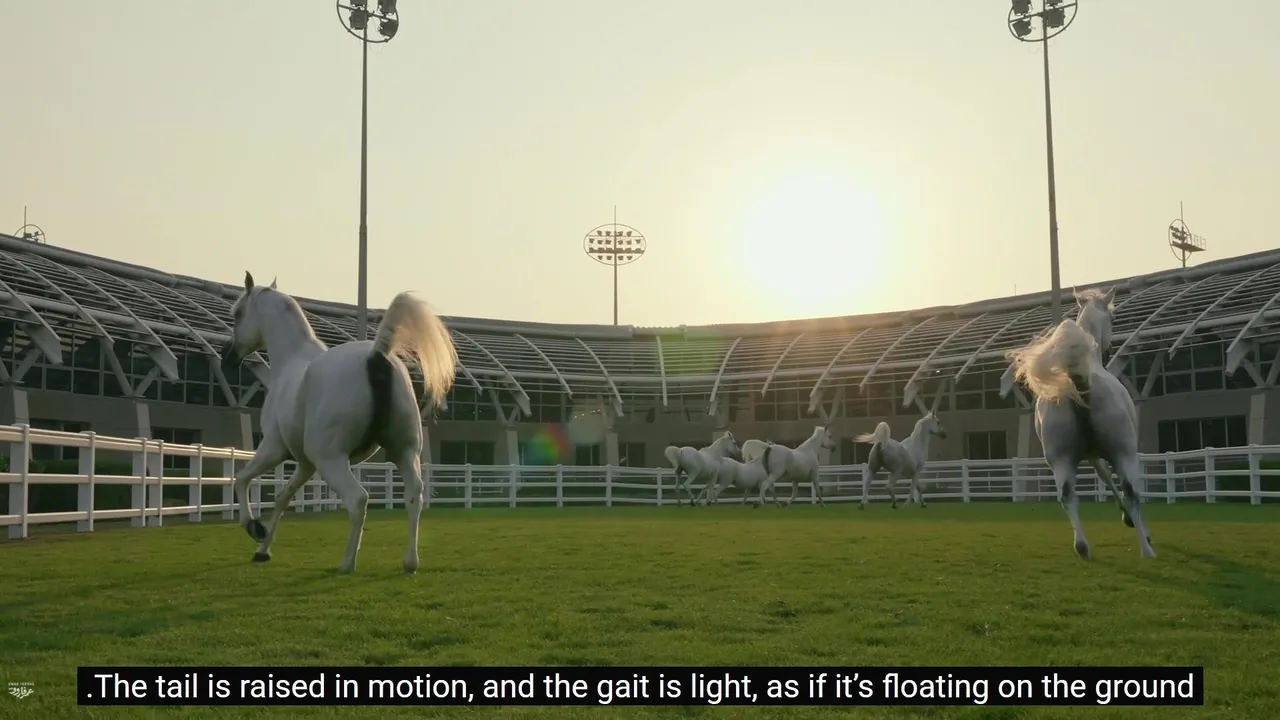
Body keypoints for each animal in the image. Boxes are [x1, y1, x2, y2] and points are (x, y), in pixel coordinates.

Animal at [219, 271, 458, 573]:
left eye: (237, 313)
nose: (227, 355)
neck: (290, 364)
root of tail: (375, 355)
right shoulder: (305, 464)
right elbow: (283, 497)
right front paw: (262, 550)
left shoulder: (273, 449)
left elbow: (241, 479)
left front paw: (254, 528)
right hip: (404, 452)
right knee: (414, 496)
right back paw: (410, 561)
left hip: (331, 460)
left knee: (358, 499)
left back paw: (347, 562)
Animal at [1006, 288, 1156, 560]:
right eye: (1113, 318)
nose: (1109, 348)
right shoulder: (1108, 453)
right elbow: (1115, 482)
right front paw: (1132, 522)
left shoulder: (1092, 455)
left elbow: (1104, 476)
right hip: (1123, 452)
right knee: (1131, 491)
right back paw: (1147, 549)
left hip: (1060, 458)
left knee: (1067, 495)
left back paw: (1083, 547)